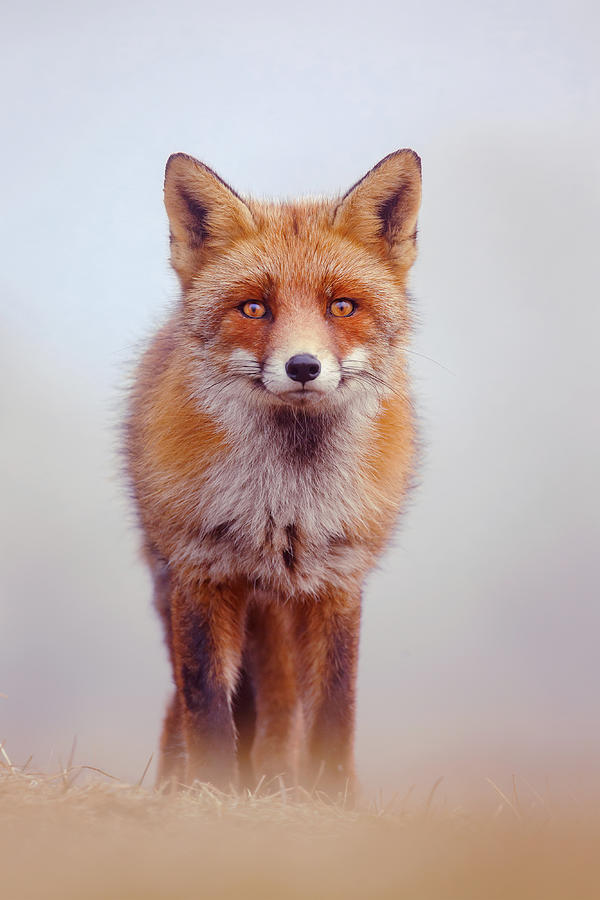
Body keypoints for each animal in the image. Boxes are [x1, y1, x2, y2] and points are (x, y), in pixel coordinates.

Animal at [125, 149, 422, 797]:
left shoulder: (338, 578)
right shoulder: (201, 572)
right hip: (176, 591)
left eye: (342, 306)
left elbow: (335, 706)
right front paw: (212, 793)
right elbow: (207, 703)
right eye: (254, 308)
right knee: (188, 706)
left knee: (283, 713)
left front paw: (332, 797)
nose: (303, 366)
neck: (284, 503)